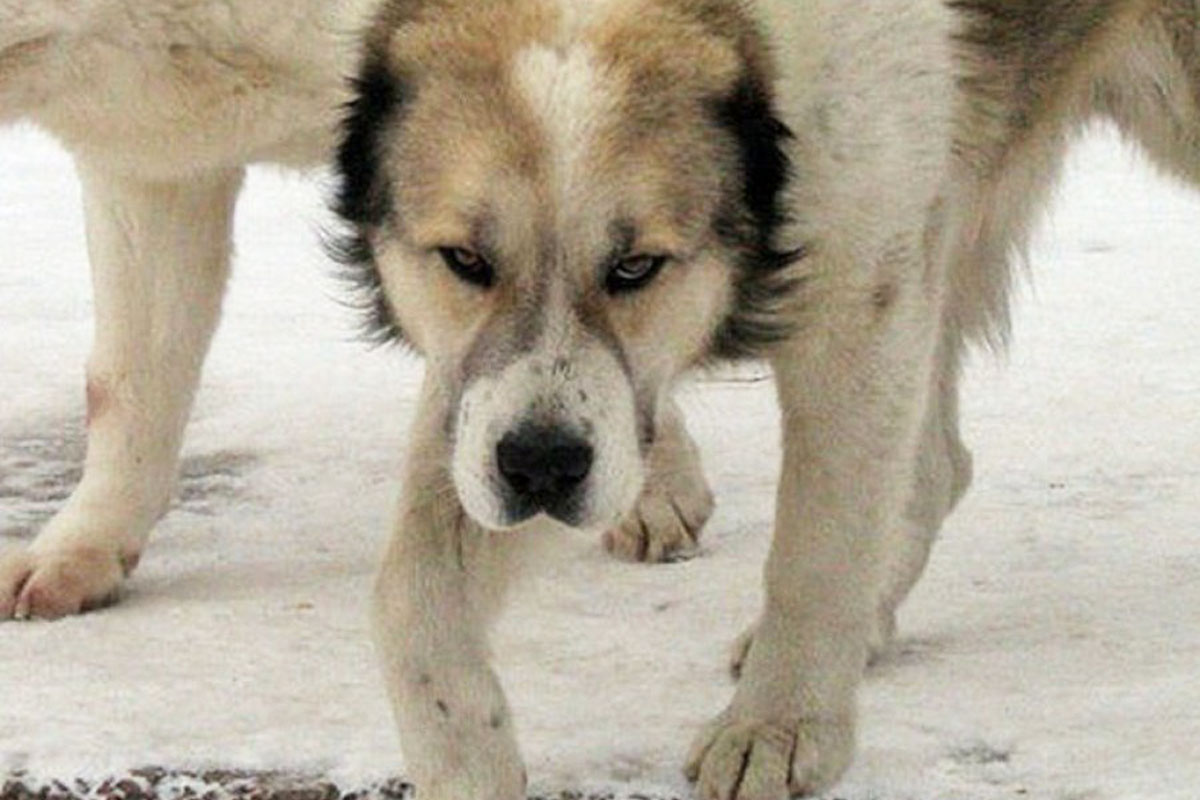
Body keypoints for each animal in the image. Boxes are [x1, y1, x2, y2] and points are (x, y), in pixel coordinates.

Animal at [4, 1, 1195, 800]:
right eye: (466, 259)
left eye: (637, 267)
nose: (542, 469)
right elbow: (143, 393)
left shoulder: (859, 284)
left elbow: (814, 551)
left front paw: (784, 722)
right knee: (938, 460)